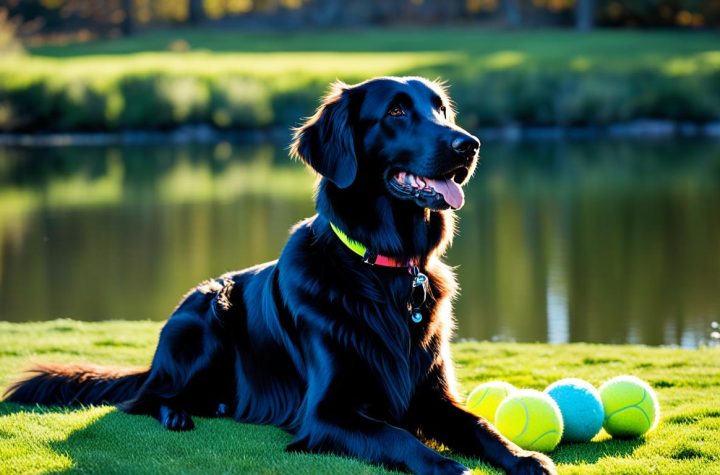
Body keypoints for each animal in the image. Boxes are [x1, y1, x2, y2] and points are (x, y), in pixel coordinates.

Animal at [5, 76, 556, 474]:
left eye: (440, 109)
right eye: (396, 112)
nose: (470, 145)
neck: (384, 270)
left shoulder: (433, 393)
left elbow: (481, 425)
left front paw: (524, 458)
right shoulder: (326, 412)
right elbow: (395, 434)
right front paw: (445, 466)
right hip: (208, 314)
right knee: (145, 399)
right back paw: (179, 412)